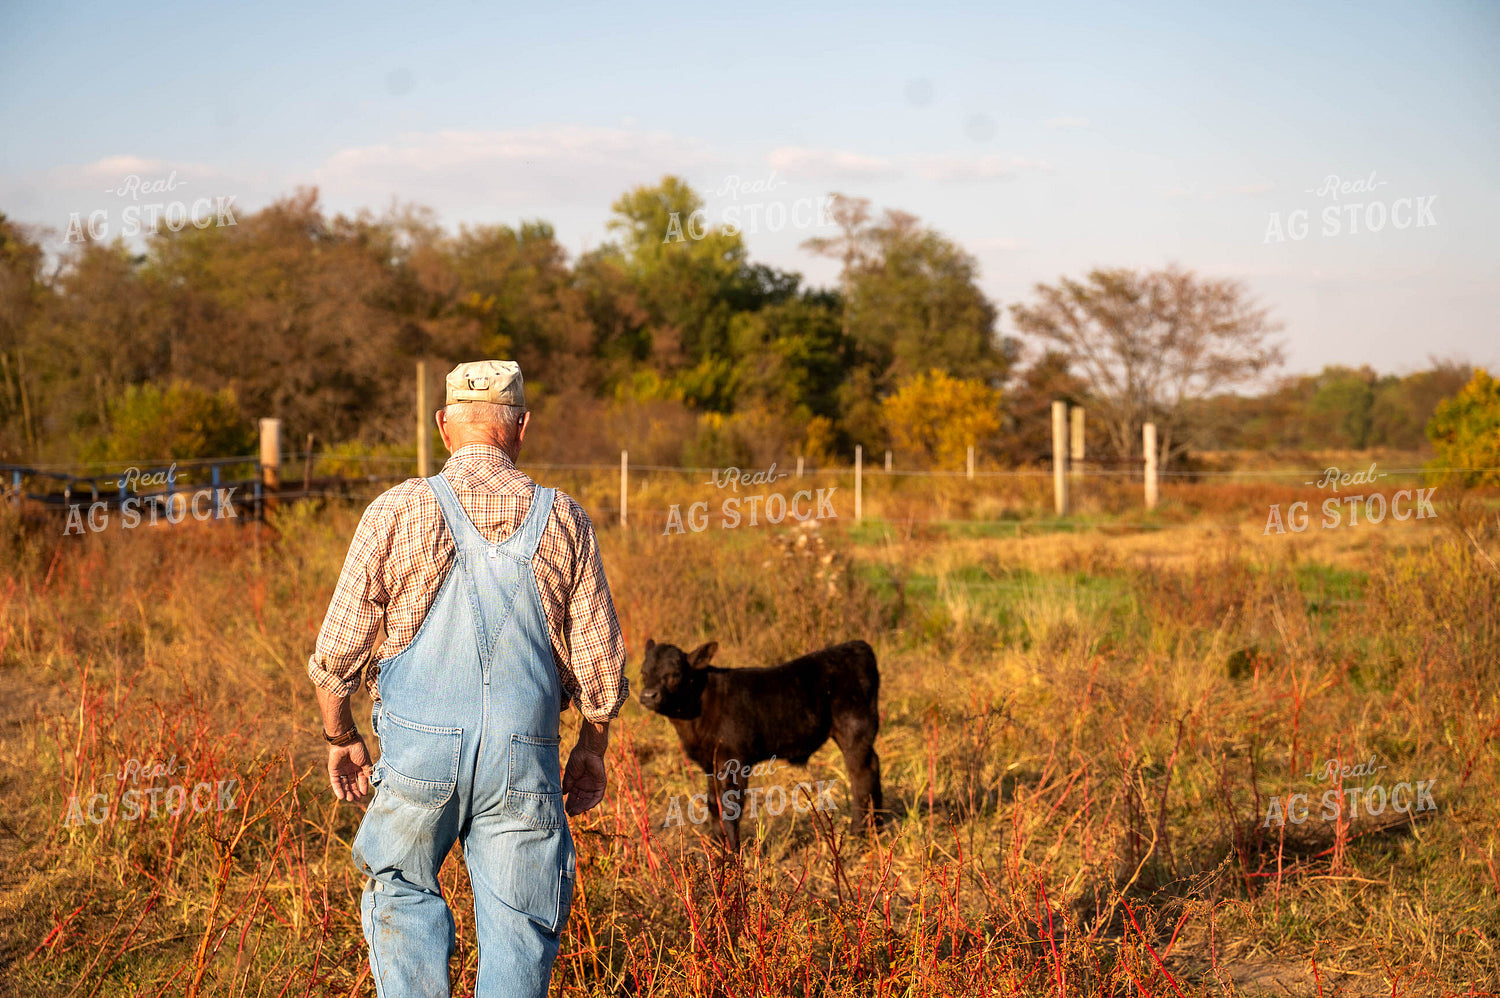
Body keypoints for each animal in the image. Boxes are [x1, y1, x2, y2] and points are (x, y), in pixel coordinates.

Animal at [637, 638, 882, 850]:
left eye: (674, 674)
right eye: (643, 672)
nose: (648, 695)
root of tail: (857, 645)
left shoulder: (733, 761)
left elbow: (730, 807)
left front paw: (733, 854)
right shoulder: (710, 764)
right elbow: (713, 804)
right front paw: (717, 847)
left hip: (854, 727)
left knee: (861, 775)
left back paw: (859, 833)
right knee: (873, 765)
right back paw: (878, 824)